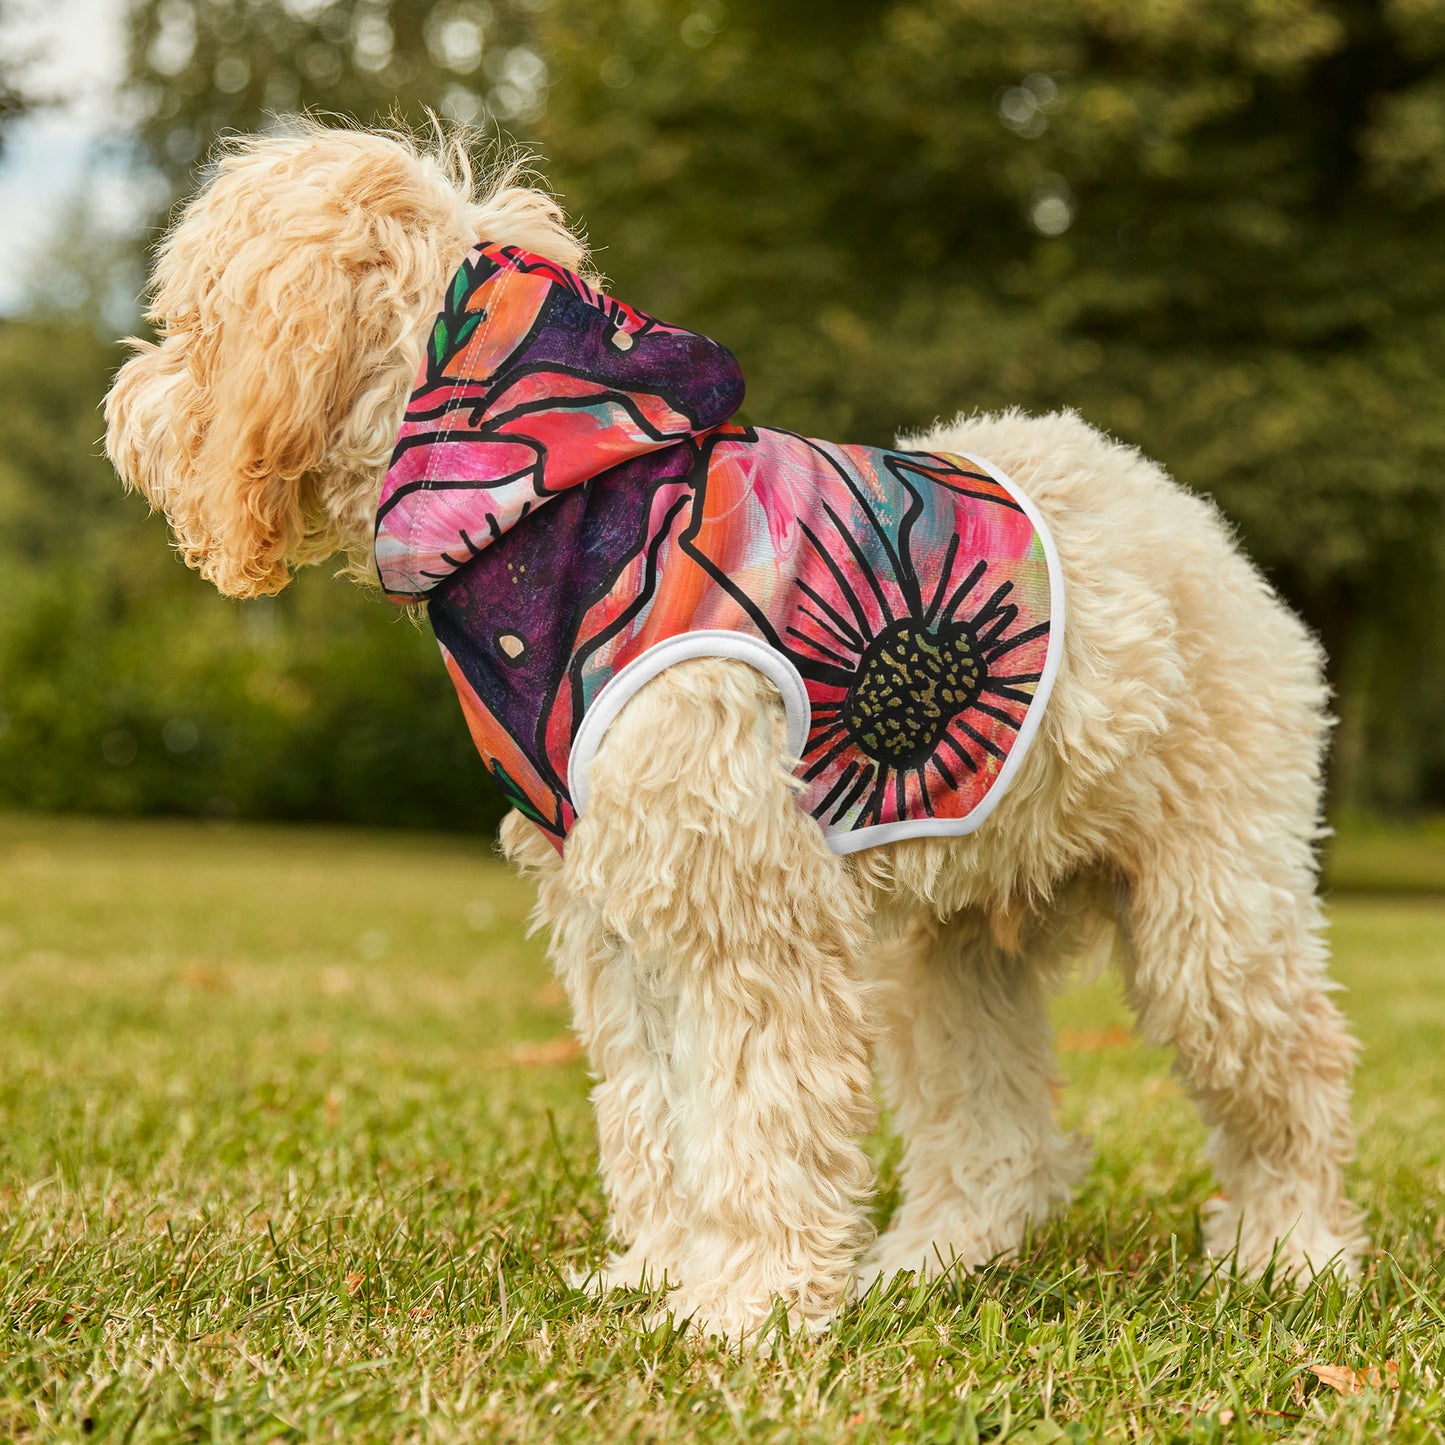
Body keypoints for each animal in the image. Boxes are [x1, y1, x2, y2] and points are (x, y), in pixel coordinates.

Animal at [104, 124, 1364, 1340]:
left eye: (192, 320)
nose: (123, 408)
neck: (556, 509)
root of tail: (1187, 518)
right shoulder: (617, 913)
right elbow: (655, 1111)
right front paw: (662, 1273)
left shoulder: (743, 907)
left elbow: (758, 1111)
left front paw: (747, 1304)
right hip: (949, 948)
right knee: (994, 1131)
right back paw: (930, 1259)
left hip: (1213, 913)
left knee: (1292, 1074)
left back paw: (1290, 1251)